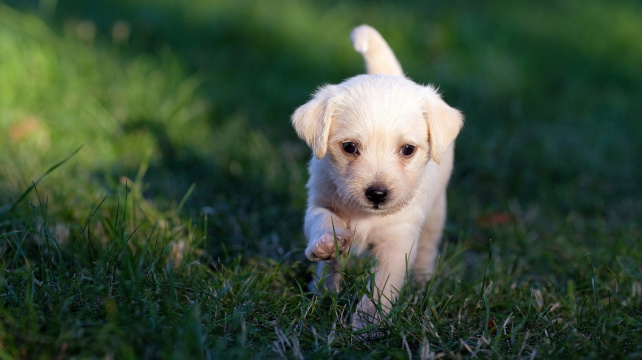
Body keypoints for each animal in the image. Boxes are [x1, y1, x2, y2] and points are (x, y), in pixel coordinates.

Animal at [290, 24, 460, 330]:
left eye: (408, 150)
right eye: (349, 147)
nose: (377, 194)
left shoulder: (397, 243)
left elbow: (380, 289)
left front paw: (367, 326)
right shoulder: (320, 201)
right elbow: (323, 221)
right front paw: (327, 244)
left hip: (436, 213)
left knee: (428, 247)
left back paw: (422, 279)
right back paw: (322, 289)